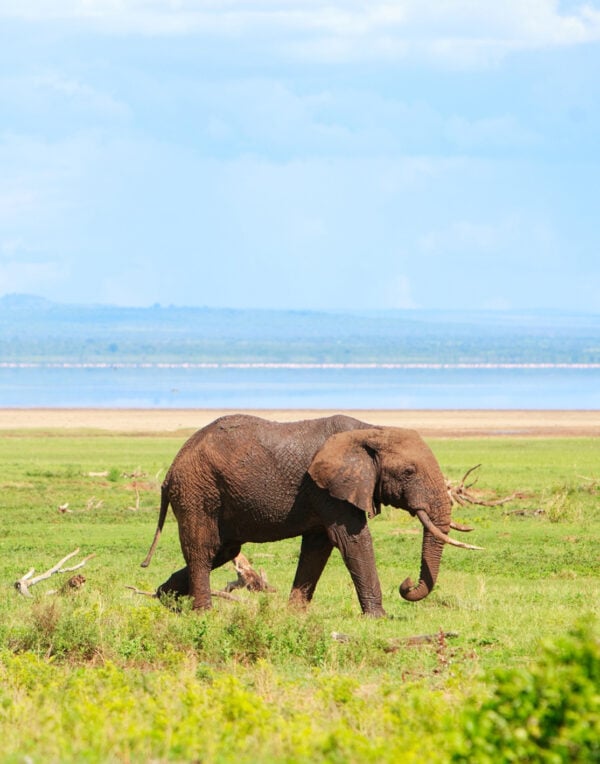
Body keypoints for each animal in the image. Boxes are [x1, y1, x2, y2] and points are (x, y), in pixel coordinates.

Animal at [142, 414, 478, 616]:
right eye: (408, 472)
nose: (406, 584)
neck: (372, 429)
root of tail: (169, 472)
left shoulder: (326, 493)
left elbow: (318, 547)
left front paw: (295, 613)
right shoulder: (330, 490)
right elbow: (352, 541)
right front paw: (378, 617)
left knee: (223, 550)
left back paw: (164, 598)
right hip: (198, 490)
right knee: (204, 549)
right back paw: (203, 612)